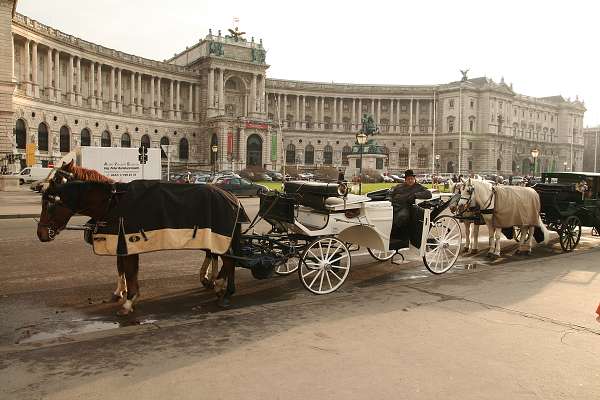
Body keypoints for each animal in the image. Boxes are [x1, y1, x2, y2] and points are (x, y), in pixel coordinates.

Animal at [38, 163, 247, 314]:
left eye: (50, 203)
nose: (41, 234)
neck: (112, 202)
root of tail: (233, 197)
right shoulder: (120, 243)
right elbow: (122, 269)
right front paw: (120, 293)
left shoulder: (127, 242)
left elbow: (129, 271)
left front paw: (128, 301)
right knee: (224, 258)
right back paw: (220, 285)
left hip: (219, 236)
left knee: (227, 259)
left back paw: (222, 289)